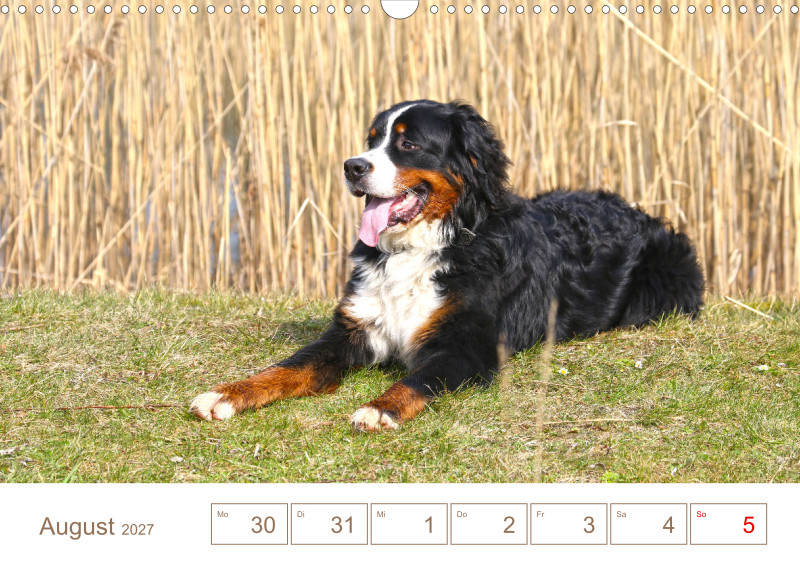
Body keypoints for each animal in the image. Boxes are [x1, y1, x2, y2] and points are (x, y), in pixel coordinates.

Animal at [190, 100, 704, 432]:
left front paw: (379, 408)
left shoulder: (466, 345)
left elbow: (416, 379)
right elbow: (289, 366)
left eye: (408, 145)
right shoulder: (354, 328)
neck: (423, 248)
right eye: (371, 140)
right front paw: (228, 393)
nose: (352, 166)